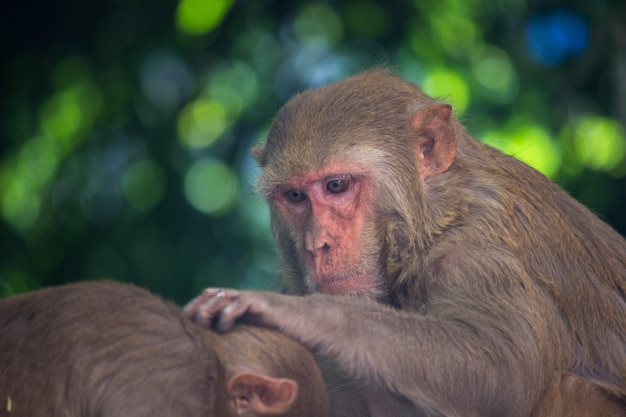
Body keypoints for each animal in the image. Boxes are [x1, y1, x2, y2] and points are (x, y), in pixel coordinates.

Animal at [184, 70, 624, 414]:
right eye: (294, 196)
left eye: (336, 185)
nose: (316, 246)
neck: (433, 224)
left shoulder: (474, 257)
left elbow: (499, 372)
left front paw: (305, 313)